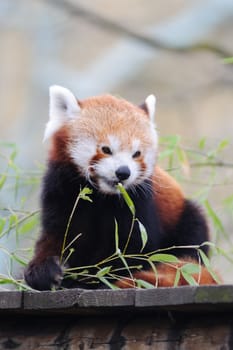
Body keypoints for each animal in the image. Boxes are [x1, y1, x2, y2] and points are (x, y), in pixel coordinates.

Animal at [24, 85, 218, 290]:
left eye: (136, 153)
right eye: (106, 149)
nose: (123, 172)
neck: (101, 196)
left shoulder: (137, 204)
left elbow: (133, 248)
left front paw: (98, 279)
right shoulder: (62, 191)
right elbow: (58, 235)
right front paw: (44, 271)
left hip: (184, 218)